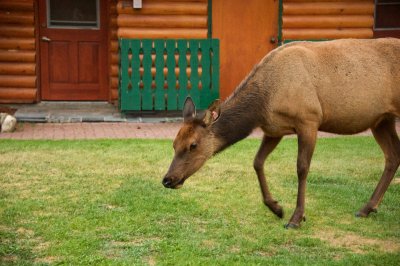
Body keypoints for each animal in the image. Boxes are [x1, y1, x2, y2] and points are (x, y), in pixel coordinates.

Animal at [161, 38, 398, 229]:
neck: (264, 103)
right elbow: (257, 162)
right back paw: (367, 208)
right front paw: (277, 208)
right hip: (381, 120)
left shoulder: (309, 119)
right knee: (393, 156)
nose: (167, 180)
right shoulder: (274, 129)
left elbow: (302, 168)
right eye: (173, 144)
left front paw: (296, 218)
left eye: (193, 145)